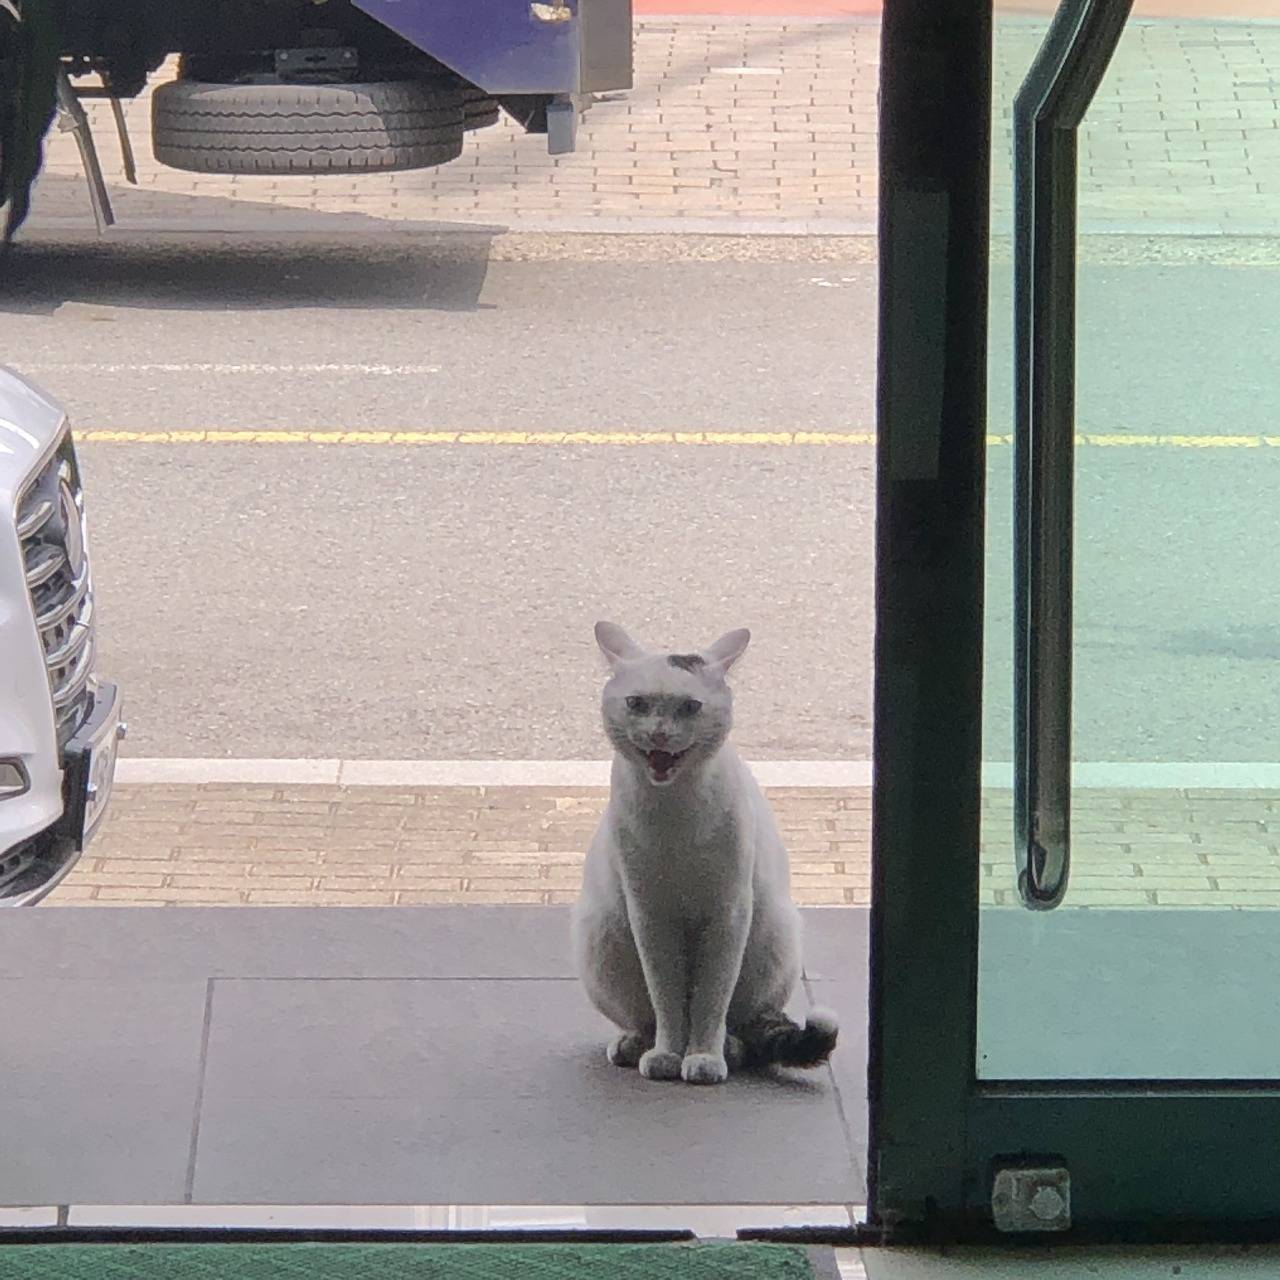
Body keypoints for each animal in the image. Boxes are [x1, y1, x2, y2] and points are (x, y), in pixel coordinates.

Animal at [573, 624, 839, 1085]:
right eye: (636, 703)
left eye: (690, 707)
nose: (659, 734)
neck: (674, 812)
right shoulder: (650, 915)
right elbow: (667, 997)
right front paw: (667, 1053)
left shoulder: (728, 913)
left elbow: (710, 999)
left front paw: (703, 1057)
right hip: (602, 936)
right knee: (644, 1017)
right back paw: (635, 1044)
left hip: (776, 935)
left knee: (745, 1025)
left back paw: (730, 1048)